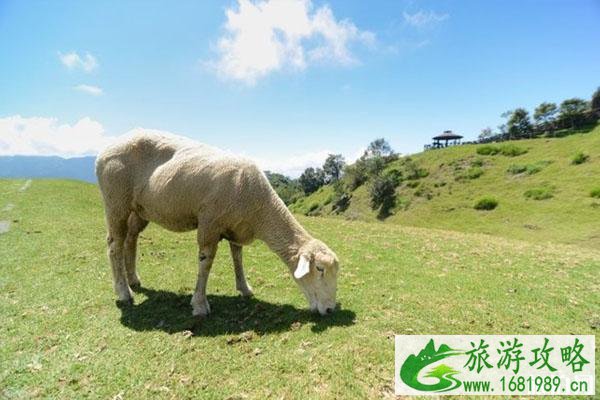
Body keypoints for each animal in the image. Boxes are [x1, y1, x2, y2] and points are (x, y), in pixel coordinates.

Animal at [94, 133, 338, 318]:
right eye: (319, 269)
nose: (330, 309)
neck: (259, 208)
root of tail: (104, 151)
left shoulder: (236, 227)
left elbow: (238, 258)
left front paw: (245, 288)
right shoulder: (210, 223)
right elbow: (206, 263)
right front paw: (200, 305)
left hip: (139, 209)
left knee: (131, 239)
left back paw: (133, 280)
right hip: (116, 200)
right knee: (114, 244)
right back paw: (124, 292)